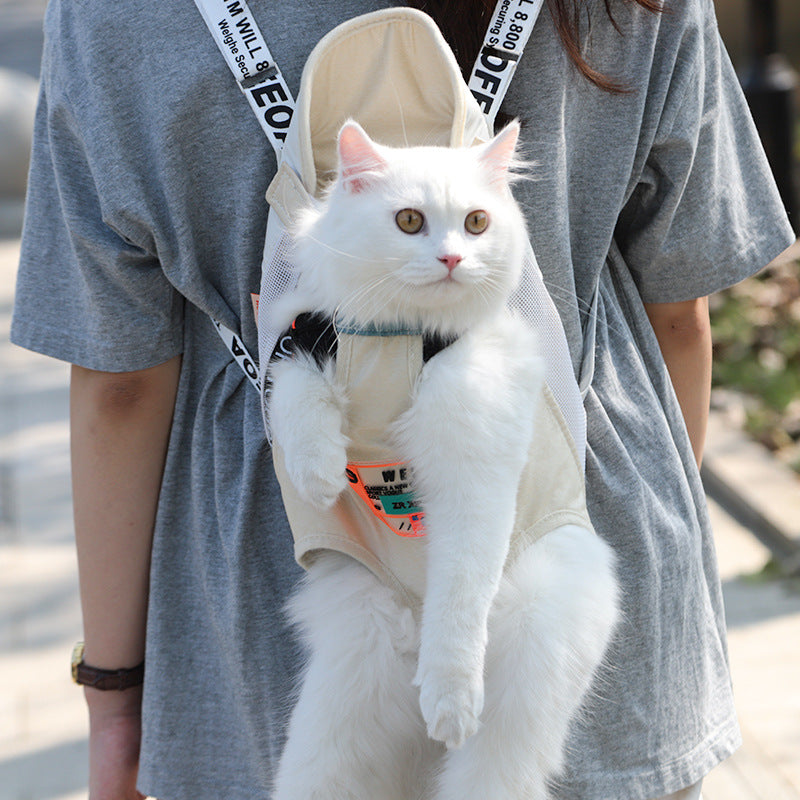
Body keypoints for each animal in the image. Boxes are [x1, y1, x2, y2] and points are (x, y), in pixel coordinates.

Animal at [268, 120, 620, 800]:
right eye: (409, 220)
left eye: (477, 222)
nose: (453, 258)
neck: (401, 341)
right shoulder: (302, 338)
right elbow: (297, 404)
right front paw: (318, 476)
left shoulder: (475, 479)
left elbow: (459, 594)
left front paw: (451, 700)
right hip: (339, 715)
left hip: (521, 685)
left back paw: (443, 713)